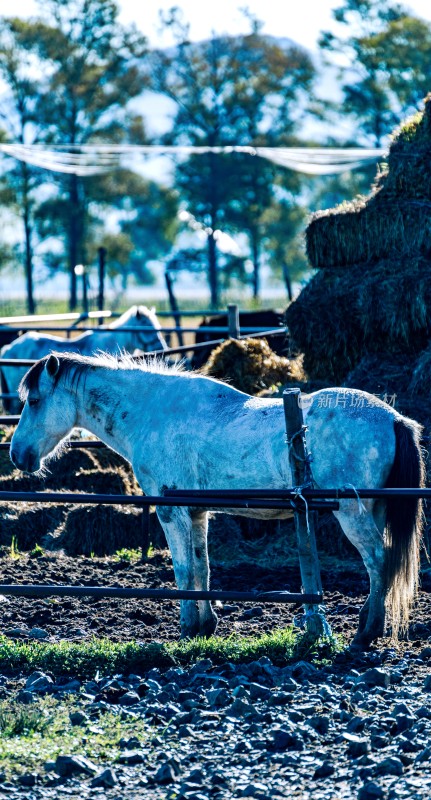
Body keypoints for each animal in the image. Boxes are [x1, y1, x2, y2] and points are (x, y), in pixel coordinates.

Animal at [10, 354, 426, 648]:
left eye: (35, 400)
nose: (17, 455)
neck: (153, 413)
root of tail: (394, 419)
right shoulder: (197, 514)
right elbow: (202, 568)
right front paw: (204, 626)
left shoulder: (172, 513)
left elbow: (184, 571)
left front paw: (187, 627)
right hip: (373, 510)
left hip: (353, 514)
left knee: (378, 561)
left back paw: (366, 633)